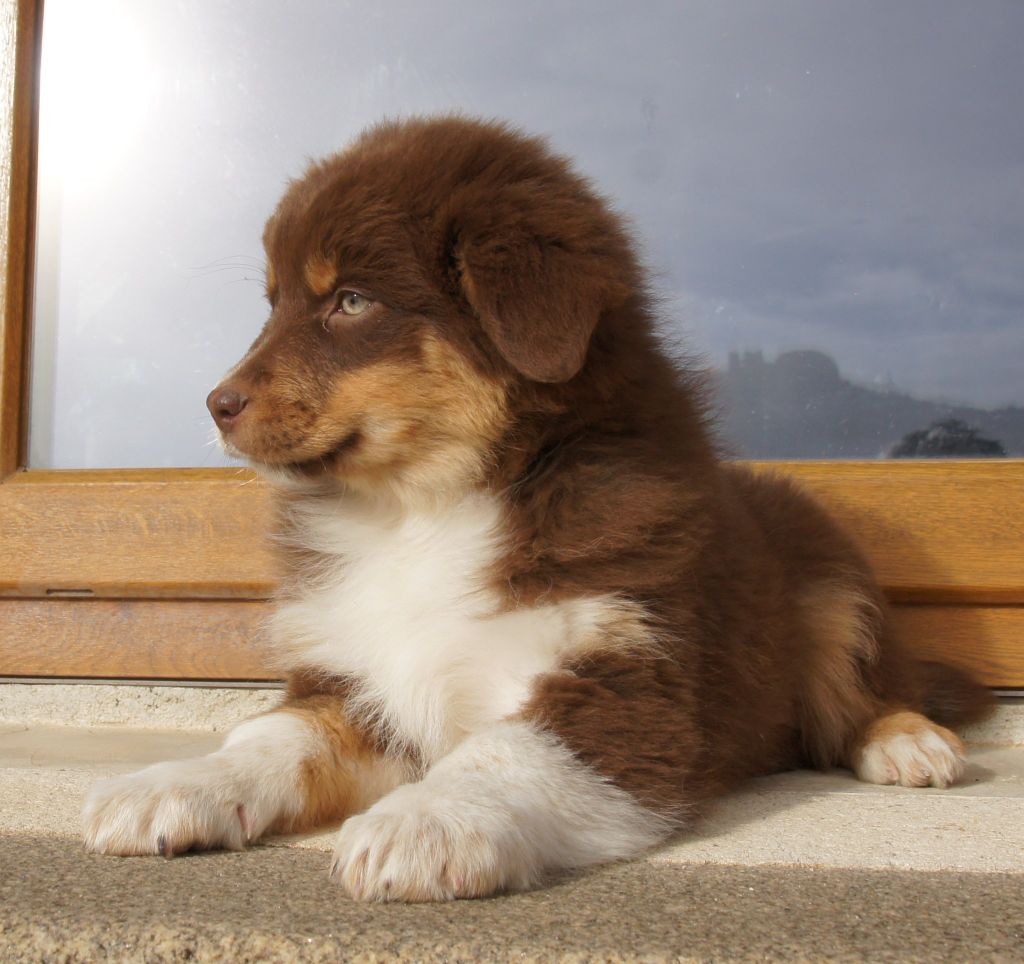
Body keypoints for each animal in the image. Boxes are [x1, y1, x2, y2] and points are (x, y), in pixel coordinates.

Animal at [83, 116, 995, 897]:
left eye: (351, 300)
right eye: (273, 302)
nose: (216, 405)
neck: (424, 508)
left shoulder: (631, 678)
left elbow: (511, 749)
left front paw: (426, 822)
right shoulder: (359, 681)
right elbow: (271, 735)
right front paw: (175, 784)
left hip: (835, 587)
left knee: (869, 690)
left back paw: (911, 742)